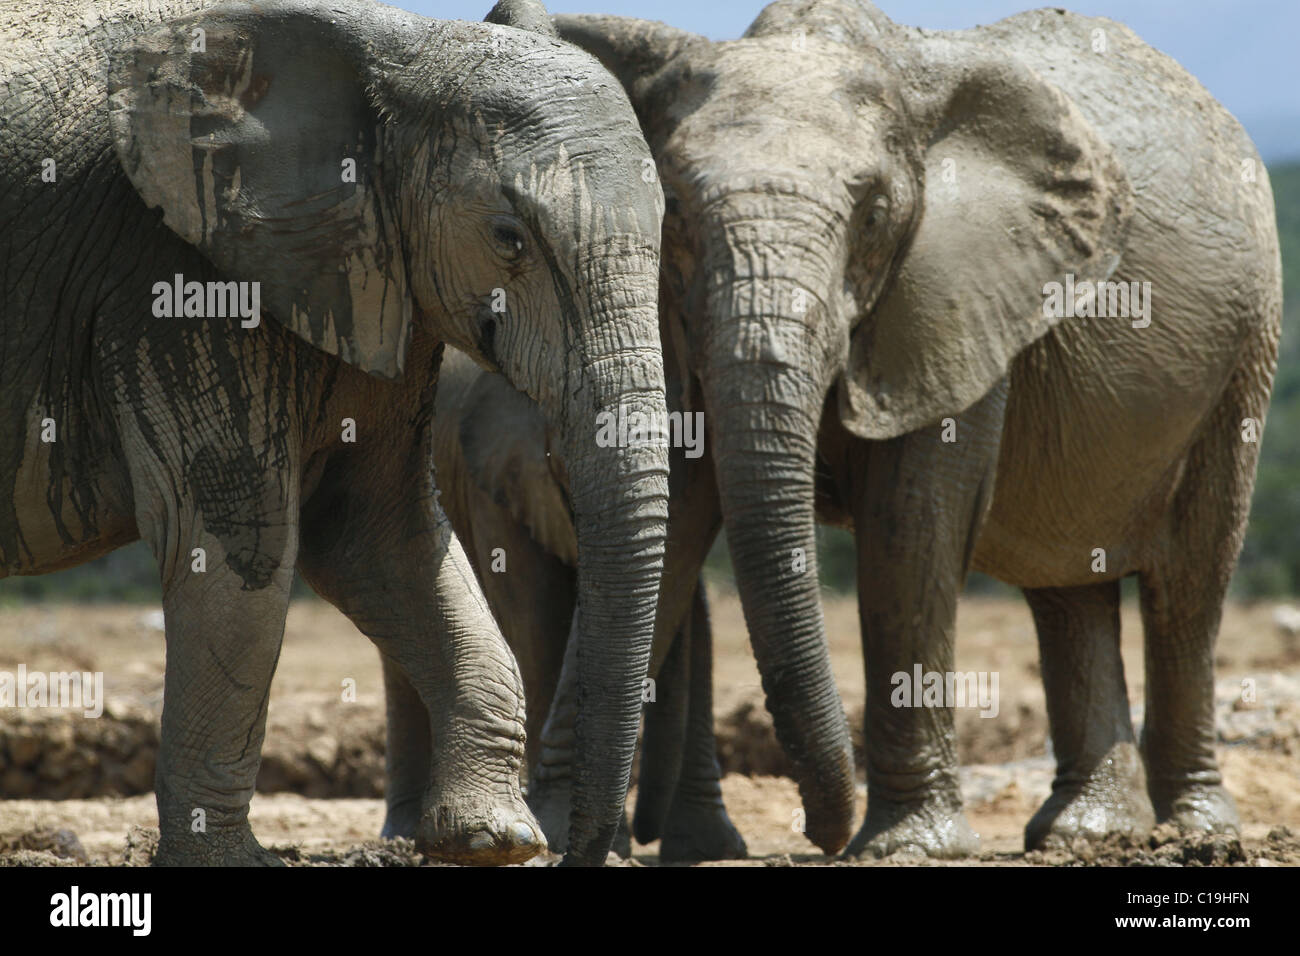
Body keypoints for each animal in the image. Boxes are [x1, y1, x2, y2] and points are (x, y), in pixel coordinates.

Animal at [0, 0, 672, 866]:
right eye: (508, 237)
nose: (579, 854)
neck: (398, 46)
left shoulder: (375, 271)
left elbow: (381, 534)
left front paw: (489, 839)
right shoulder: (174, 271)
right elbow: (242, 550)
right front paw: (229, 863)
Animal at [551, 0, 1284, 858]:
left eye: (872, 217)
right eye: (678, 217)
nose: (819, 831)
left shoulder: (959, 292)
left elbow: (911, 528)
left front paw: (907, 846)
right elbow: (672, 505)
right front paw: (549, 833)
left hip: (1245, 350)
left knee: (1189, 584)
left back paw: (1192, 826)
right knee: (1069, 589)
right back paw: (1083, 832)